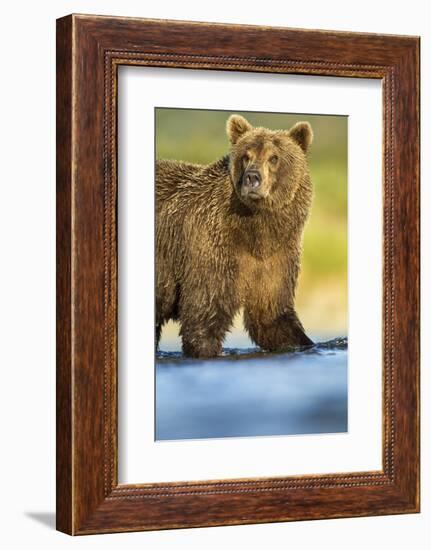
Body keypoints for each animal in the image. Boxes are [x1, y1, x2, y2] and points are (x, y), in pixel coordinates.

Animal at [155, 114, 314, 360]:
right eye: (246, 156)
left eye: (274, 157)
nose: (252, 178)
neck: (255, 231)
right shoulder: (210, 248)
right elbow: (204, 314)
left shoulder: (276, 255)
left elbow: (272, 316)